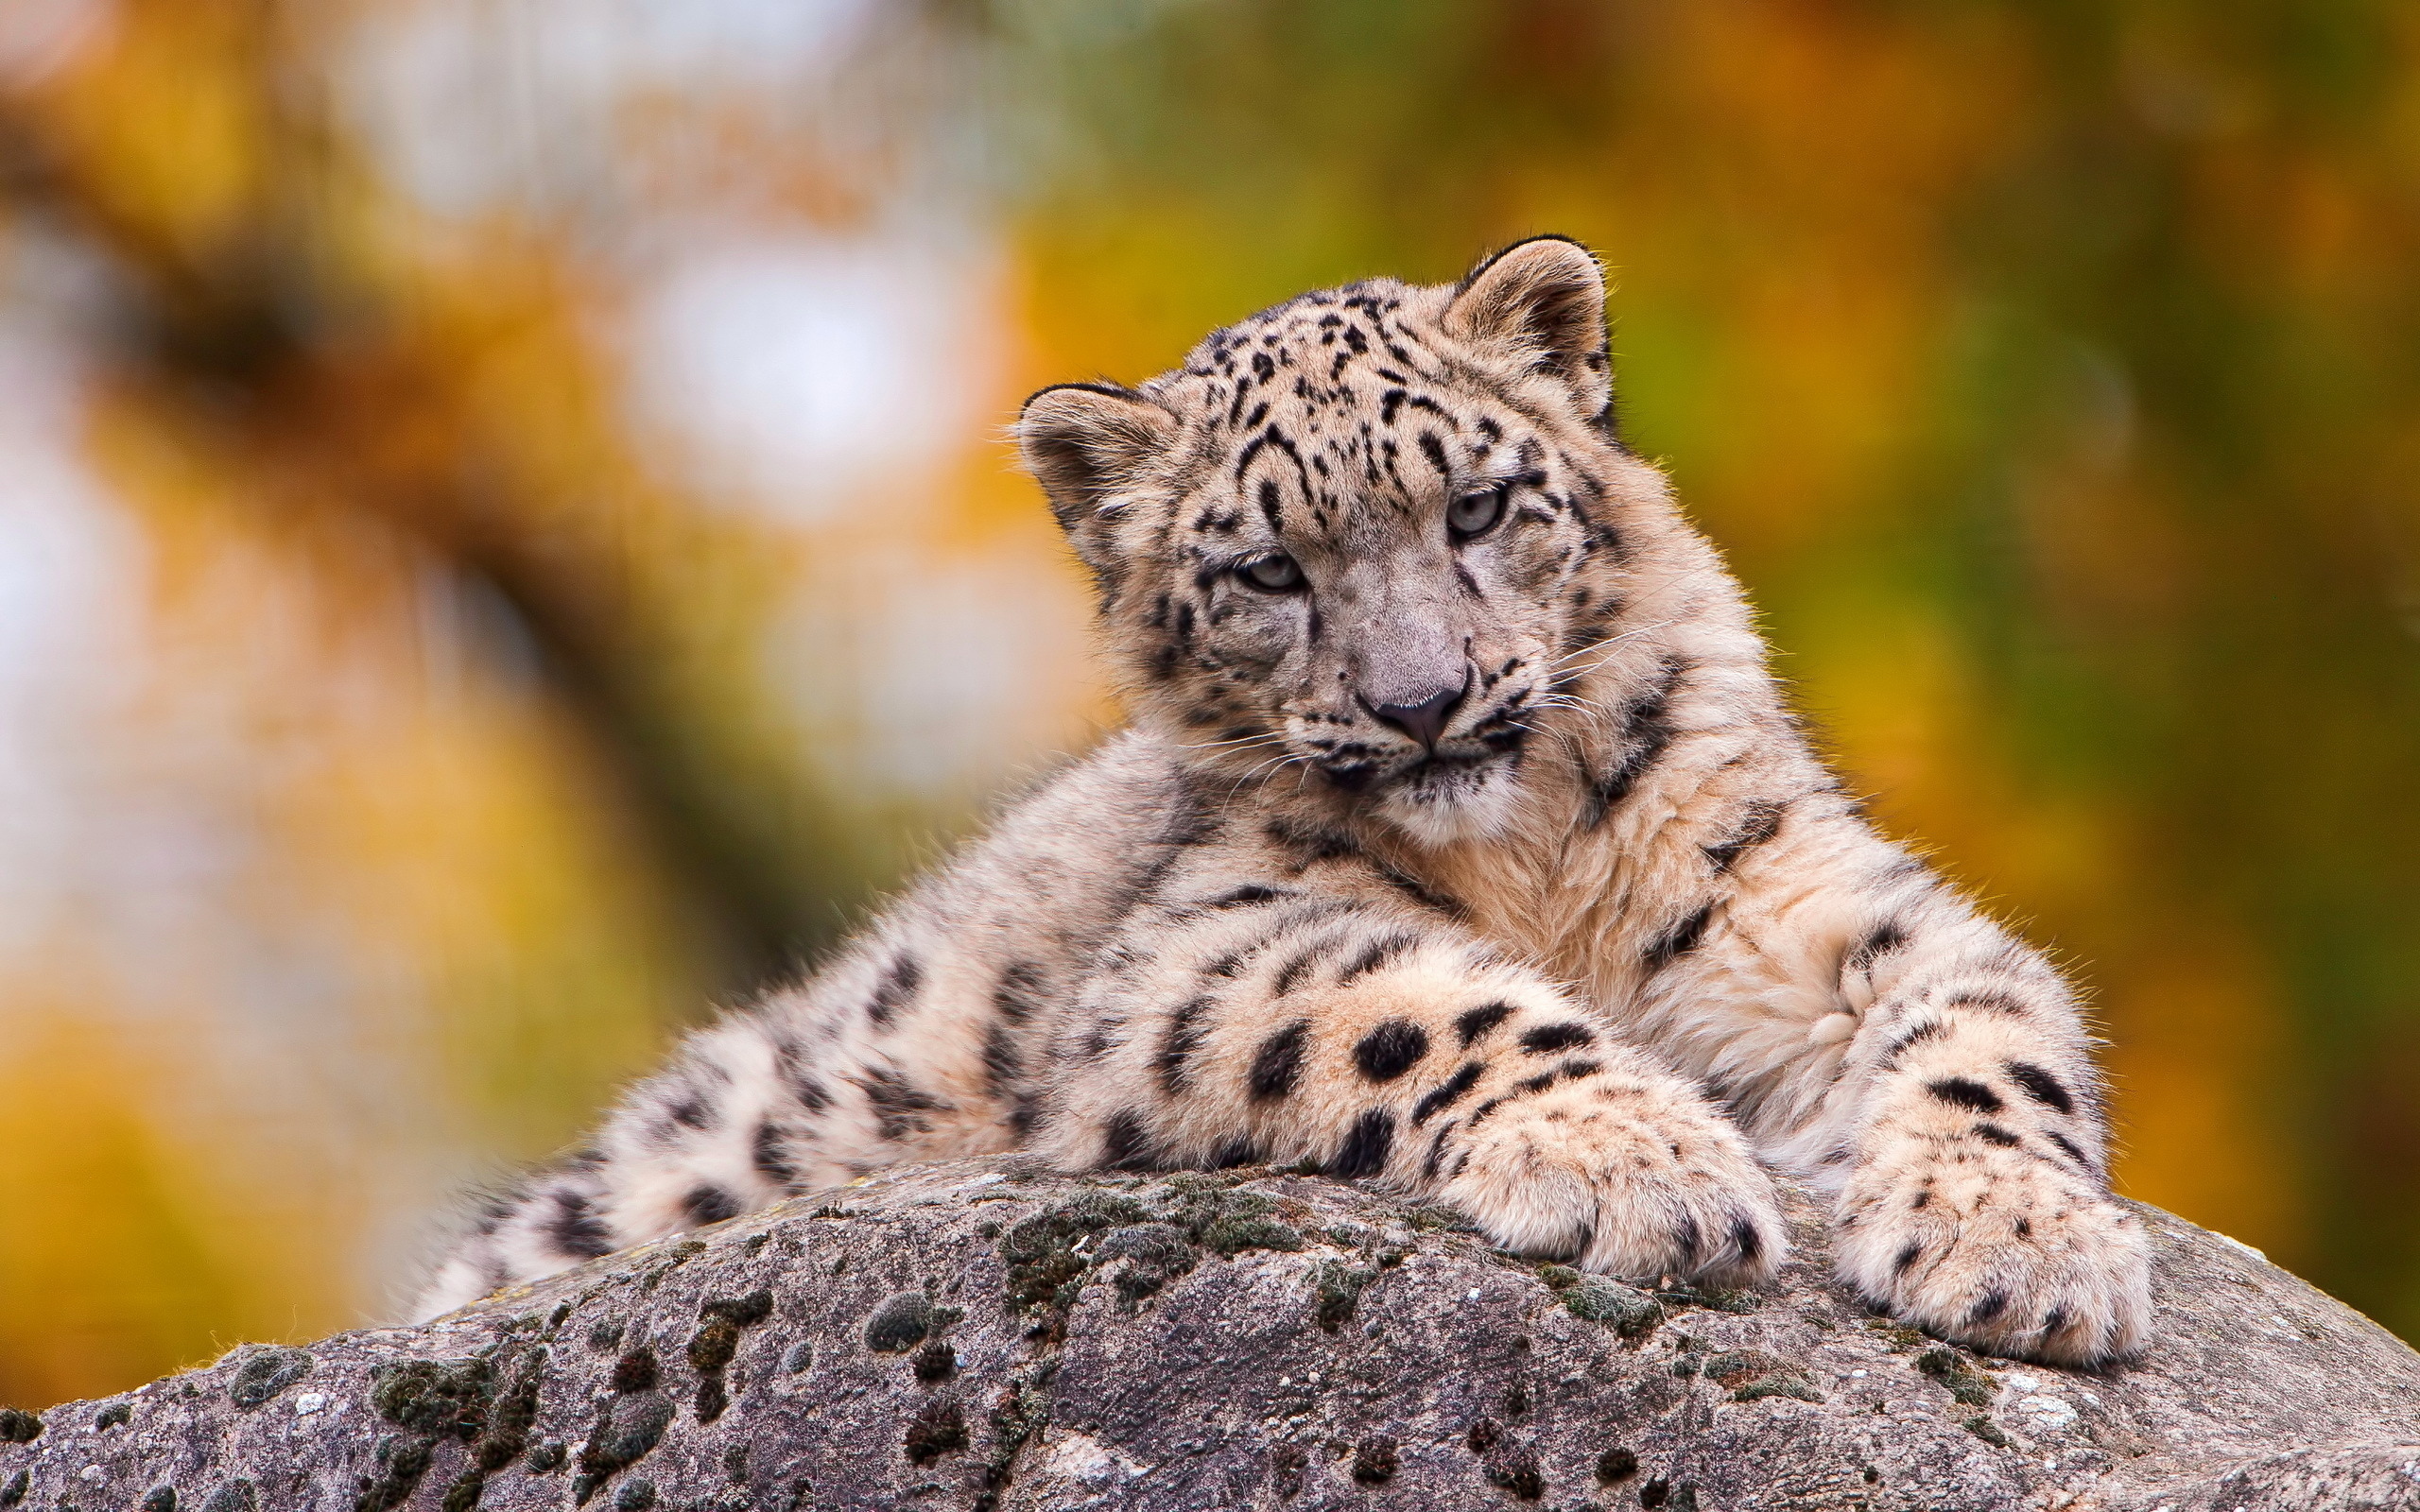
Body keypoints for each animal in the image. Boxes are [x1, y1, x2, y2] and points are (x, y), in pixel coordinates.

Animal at [414, 236, 2151, 1366]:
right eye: (1266, 573)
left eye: (1478, 507)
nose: (1423, 701)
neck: (1533, 861)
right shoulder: (1203, 952)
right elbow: (1436, 1002)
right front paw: (1641, 1169)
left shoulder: (1817, 901)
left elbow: (1990, 1033)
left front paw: (2024, 1250)